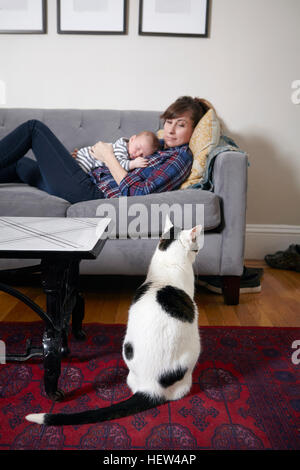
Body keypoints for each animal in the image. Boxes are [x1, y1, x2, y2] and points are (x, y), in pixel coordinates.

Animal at [25, 217, 203, 426]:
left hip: (127, 358)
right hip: (194, 350)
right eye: (195, 248)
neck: (168, 261)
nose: (197, 252)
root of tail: (151, 388)